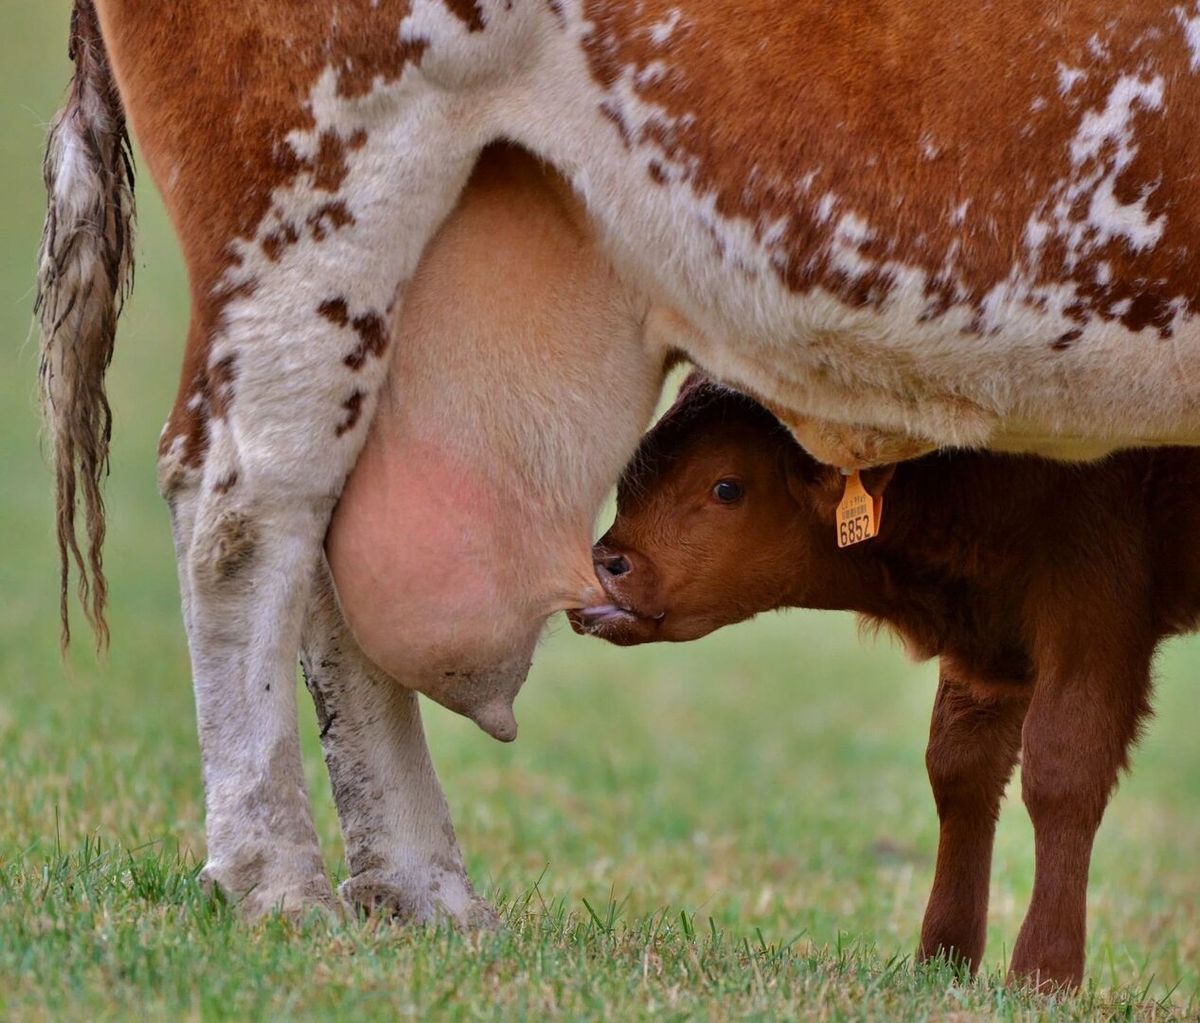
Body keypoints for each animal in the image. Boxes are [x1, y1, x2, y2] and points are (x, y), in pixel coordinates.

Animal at [573, 372, 1200, 989]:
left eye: (727, 487)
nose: (603, 565)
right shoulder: (987, 650)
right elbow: (960, 768)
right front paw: (943, 957)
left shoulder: (1092, 615)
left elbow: (1062, 771)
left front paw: (1044, 973)